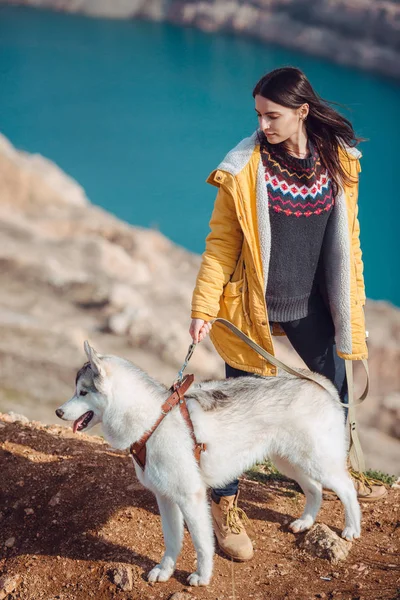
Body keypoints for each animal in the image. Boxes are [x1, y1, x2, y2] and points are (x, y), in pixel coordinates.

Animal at [57, 342, 362, 584]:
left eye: (83, 392)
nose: (59, 411)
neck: (153, 420)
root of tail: (317, 381)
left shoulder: (190, 497)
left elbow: (202, 544)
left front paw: (202, 577)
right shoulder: (165, 497)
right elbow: (172, 540)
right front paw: (165, 570)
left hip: (316, 460)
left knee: (347, 489)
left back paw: (351, 528)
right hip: (290, 461)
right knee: (315, 489)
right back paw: (306, 522)